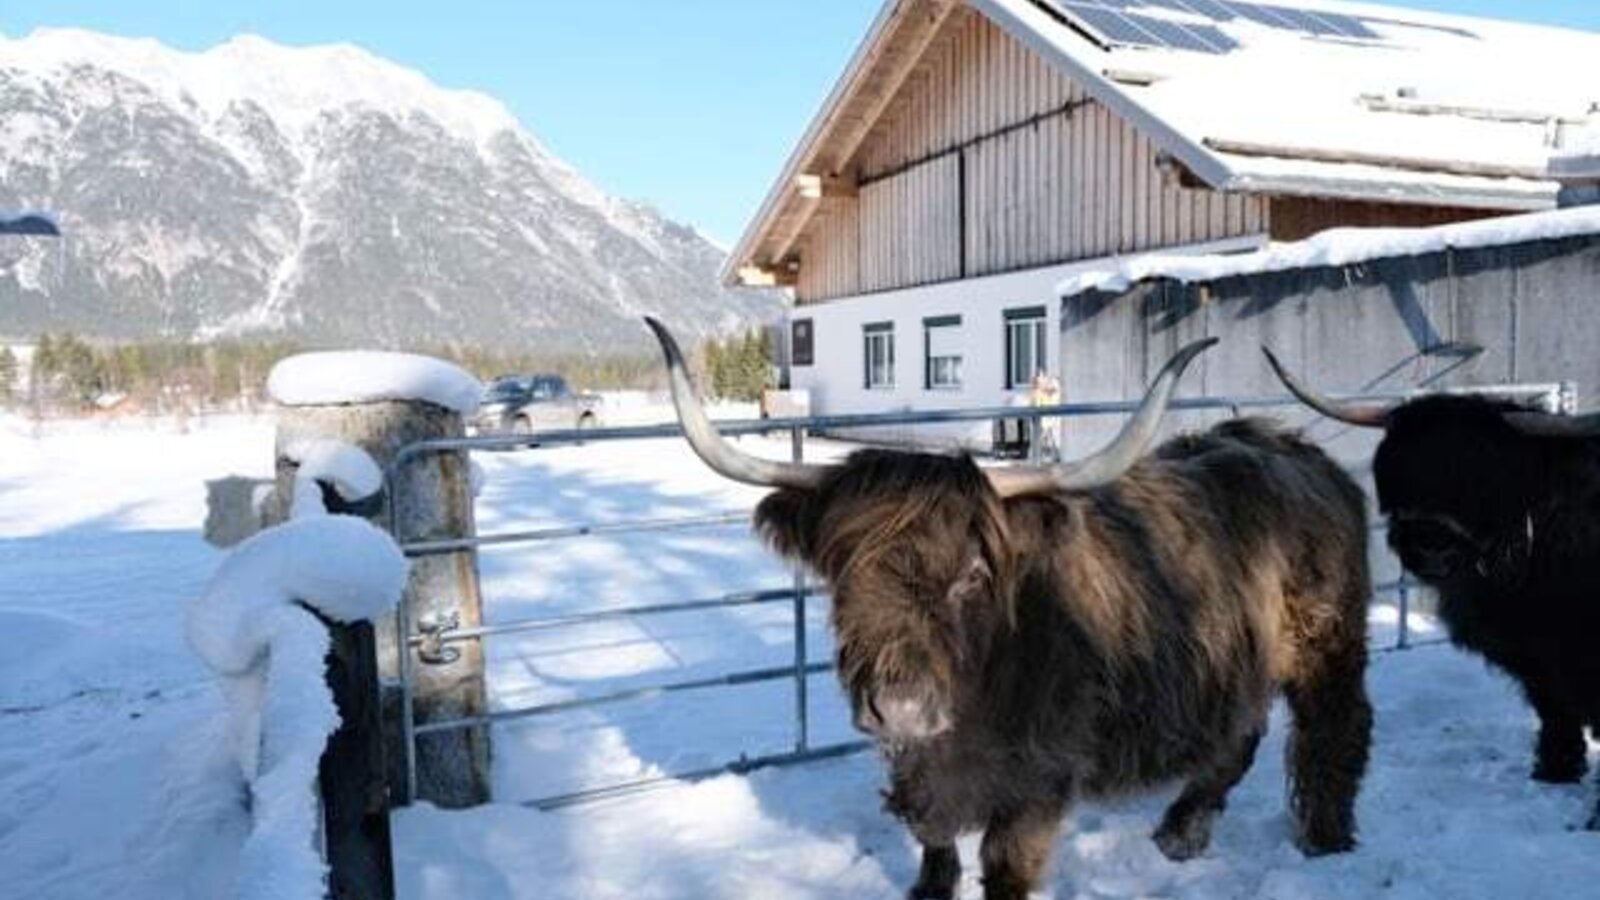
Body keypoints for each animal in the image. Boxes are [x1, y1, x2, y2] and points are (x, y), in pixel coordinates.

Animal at [646, 318, 1373, 900]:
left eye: (972, 574)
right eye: (842, 572)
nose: (900, 707)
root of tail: (1293, 446)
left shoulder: (1038, 780)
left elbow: (1004, 866)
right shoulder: (922, 772)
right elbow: (935, 846)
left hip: (1327, 644)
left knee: (1336, 723)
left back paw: (1325, 838)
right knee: (1240, 733)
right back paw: (1181, 832)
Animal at [1265, 348, 1600, 829]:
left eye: (1484, 475)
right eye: (1397, 471)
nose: (1429, 546)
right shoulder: (1536, 657)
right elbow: (1554, 710)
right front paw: (1553, 773)